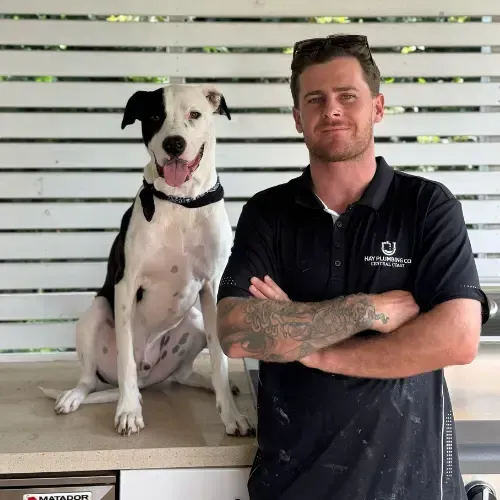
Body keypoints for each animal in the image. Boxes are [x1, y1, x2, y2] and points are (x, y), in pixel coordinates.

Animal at [40, 83, 255, 438]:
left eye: (194, 114)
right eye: (155, 116)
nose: (174, 143)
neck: (182, 203)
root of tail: (149, 376)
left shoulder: (212, 288)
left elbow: (220, 362)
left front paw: (231, 415)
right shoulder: (126, 286)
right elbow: (125, 359)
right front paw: (129, 412)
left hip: (195, 320)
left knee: (181, 374)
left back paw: (201, 382)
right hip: (96, 314)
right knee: (91, 378)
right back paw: (76, 396)